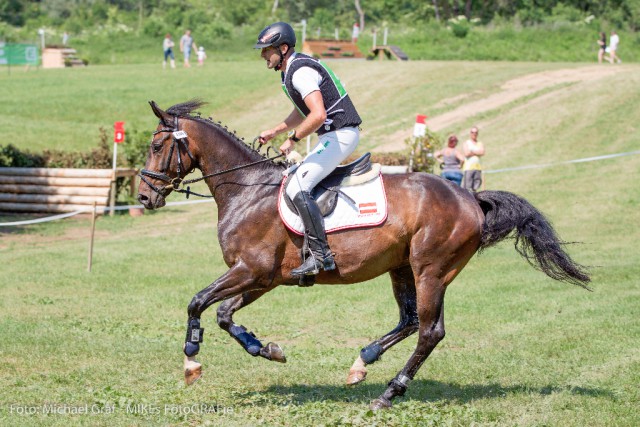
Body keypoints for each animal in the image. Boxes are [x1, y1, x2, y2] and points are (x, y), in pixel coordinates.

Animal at [136, 100, 592, 412]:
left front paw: (191, 362)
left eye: (157, 144)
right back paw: (362, 362)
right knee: (410, 321)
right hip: (401, 268)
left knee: (430, 331)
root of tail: (470, 198)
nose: (142, 197)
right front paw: (267, 349)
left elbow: (197, 302)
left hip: (431, 270)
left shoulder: (252, 270)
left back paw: (389, 392)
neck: (247, 190)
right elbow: (223, 314)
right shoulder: (263, 277)